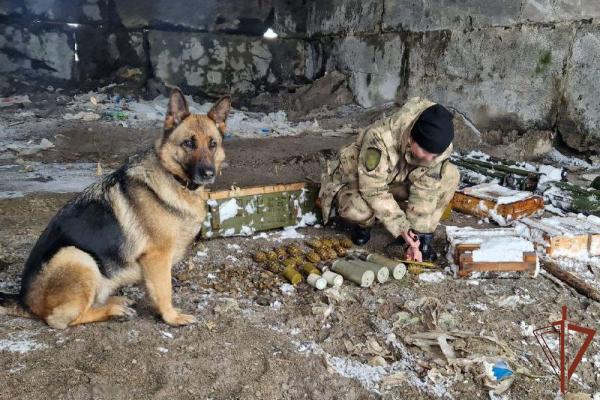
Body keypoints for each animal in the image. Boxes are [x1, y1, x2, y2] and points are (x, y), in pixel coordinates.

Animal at [0, 87, 231, 328]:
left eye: (213, 144)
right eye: (188, 143)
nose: (208, 173)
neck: (174, 179)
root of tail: (23, 301)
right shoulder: (157, 257)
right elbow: (164, 291)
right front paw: (172, 317)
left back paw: (115, 301)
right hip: (77, 257)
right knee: (63, 319)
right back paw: (112, 311)